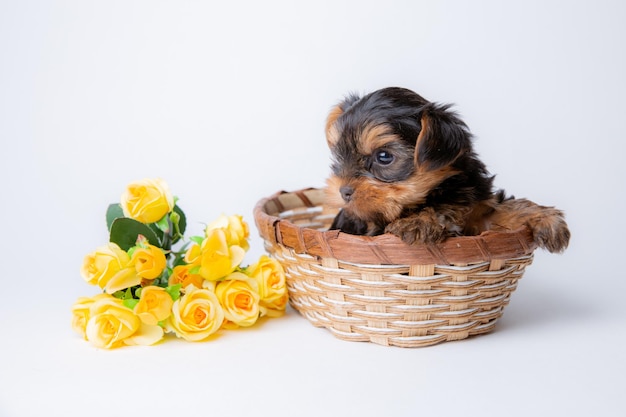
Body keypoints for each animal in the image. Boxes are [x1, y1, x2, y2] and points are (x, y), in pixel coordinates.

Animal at [326, 86, 572, 252]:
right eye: (340, 154)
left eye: (384, 157)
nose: (343, 191)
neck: (440, 190)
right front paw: (418, 221)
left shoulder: (477, 211)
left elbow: (500, 210)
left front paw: (545, 218)